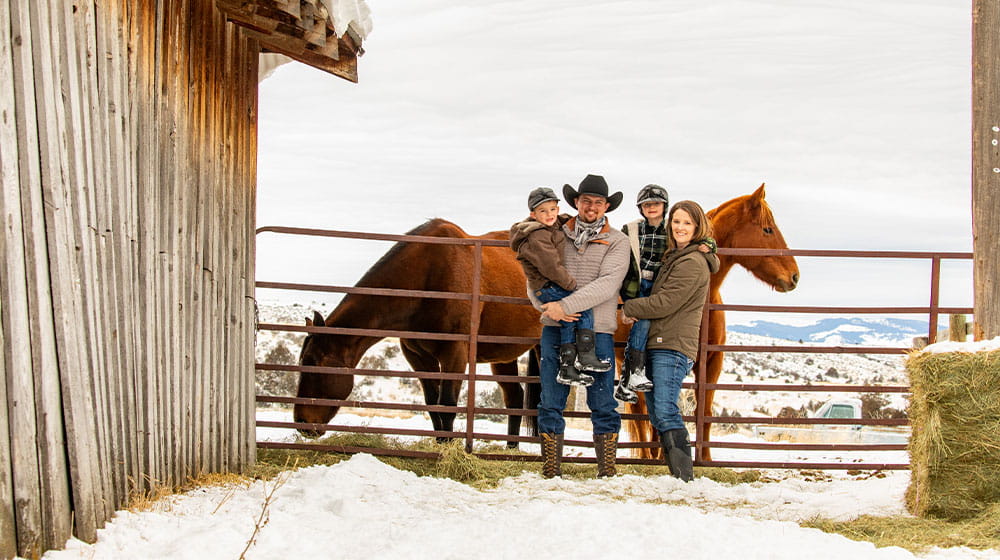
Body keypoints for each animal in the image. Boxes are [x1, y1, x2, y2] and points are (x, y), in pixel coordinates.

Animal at [294, 219, 540, 444]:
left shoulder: (455, 353)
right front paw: (441, 443)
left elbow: (447, 404)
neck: (429, 275)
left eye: (314, 364)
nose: (302, 422)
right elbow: (433, 404)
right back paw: (511, 449)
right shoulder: (417, 356)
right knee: (514, 397)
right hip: (503, 354)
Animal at [622, 184, 799, 461]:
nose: (794, 276)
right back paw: (646, 455)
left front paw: (705, 459)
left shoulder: (712, 363)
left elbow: (704, 412)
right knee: (639, 412)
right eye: (768, 229)